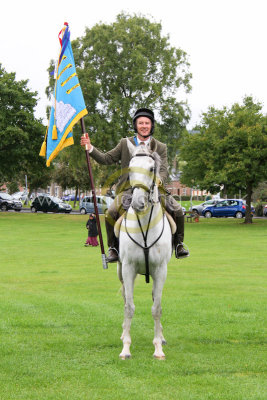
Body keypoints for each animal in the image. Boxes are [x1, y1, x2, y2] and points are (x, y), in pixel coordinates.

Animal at [117, 140, 174, 360]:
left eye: (151, 168)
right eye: (130, 168)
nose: (138, 203)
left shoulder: (160, 270)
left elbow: (157, 308)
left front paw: (158, 348)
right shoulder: (128, 268)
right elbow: (129, 307)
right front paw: (126, 347)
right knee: (125, 298)